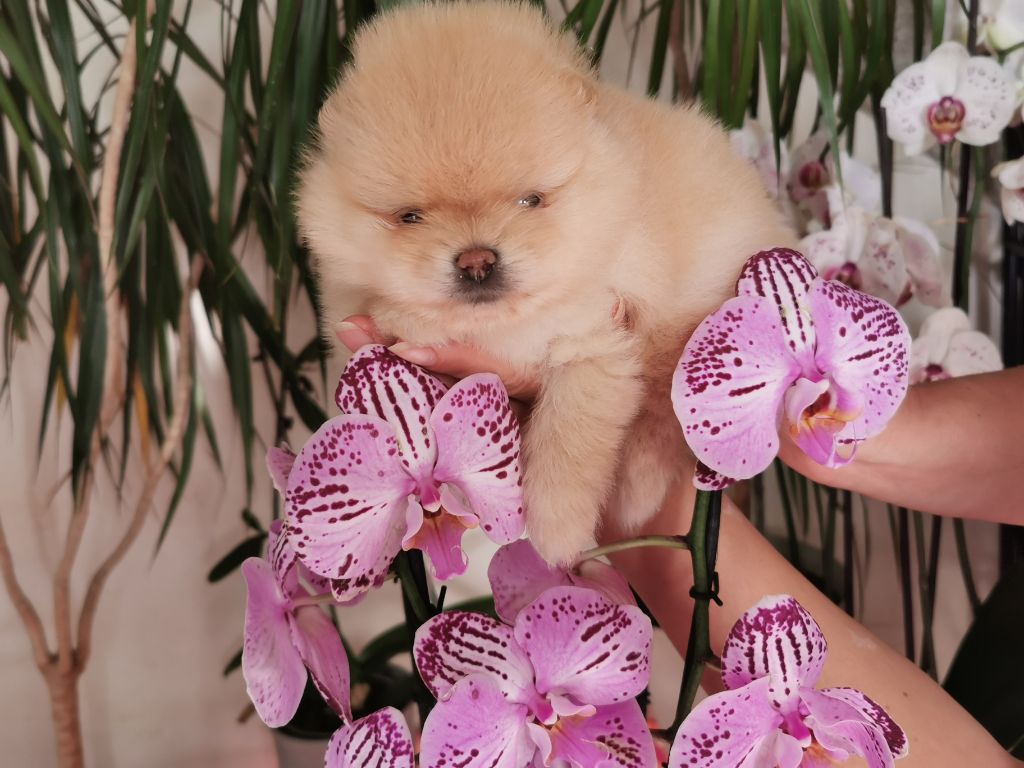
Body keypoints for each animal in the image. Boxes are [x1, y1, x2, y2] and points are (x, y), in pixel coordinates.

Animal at [297, 1, 794, 564]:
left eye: (531, 200)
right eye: (409, 217)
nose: (476, 261)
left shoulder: (594, 344)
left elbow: (568, 440)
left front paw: (557, 535)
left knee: (663, 415)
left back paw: (637, 491)